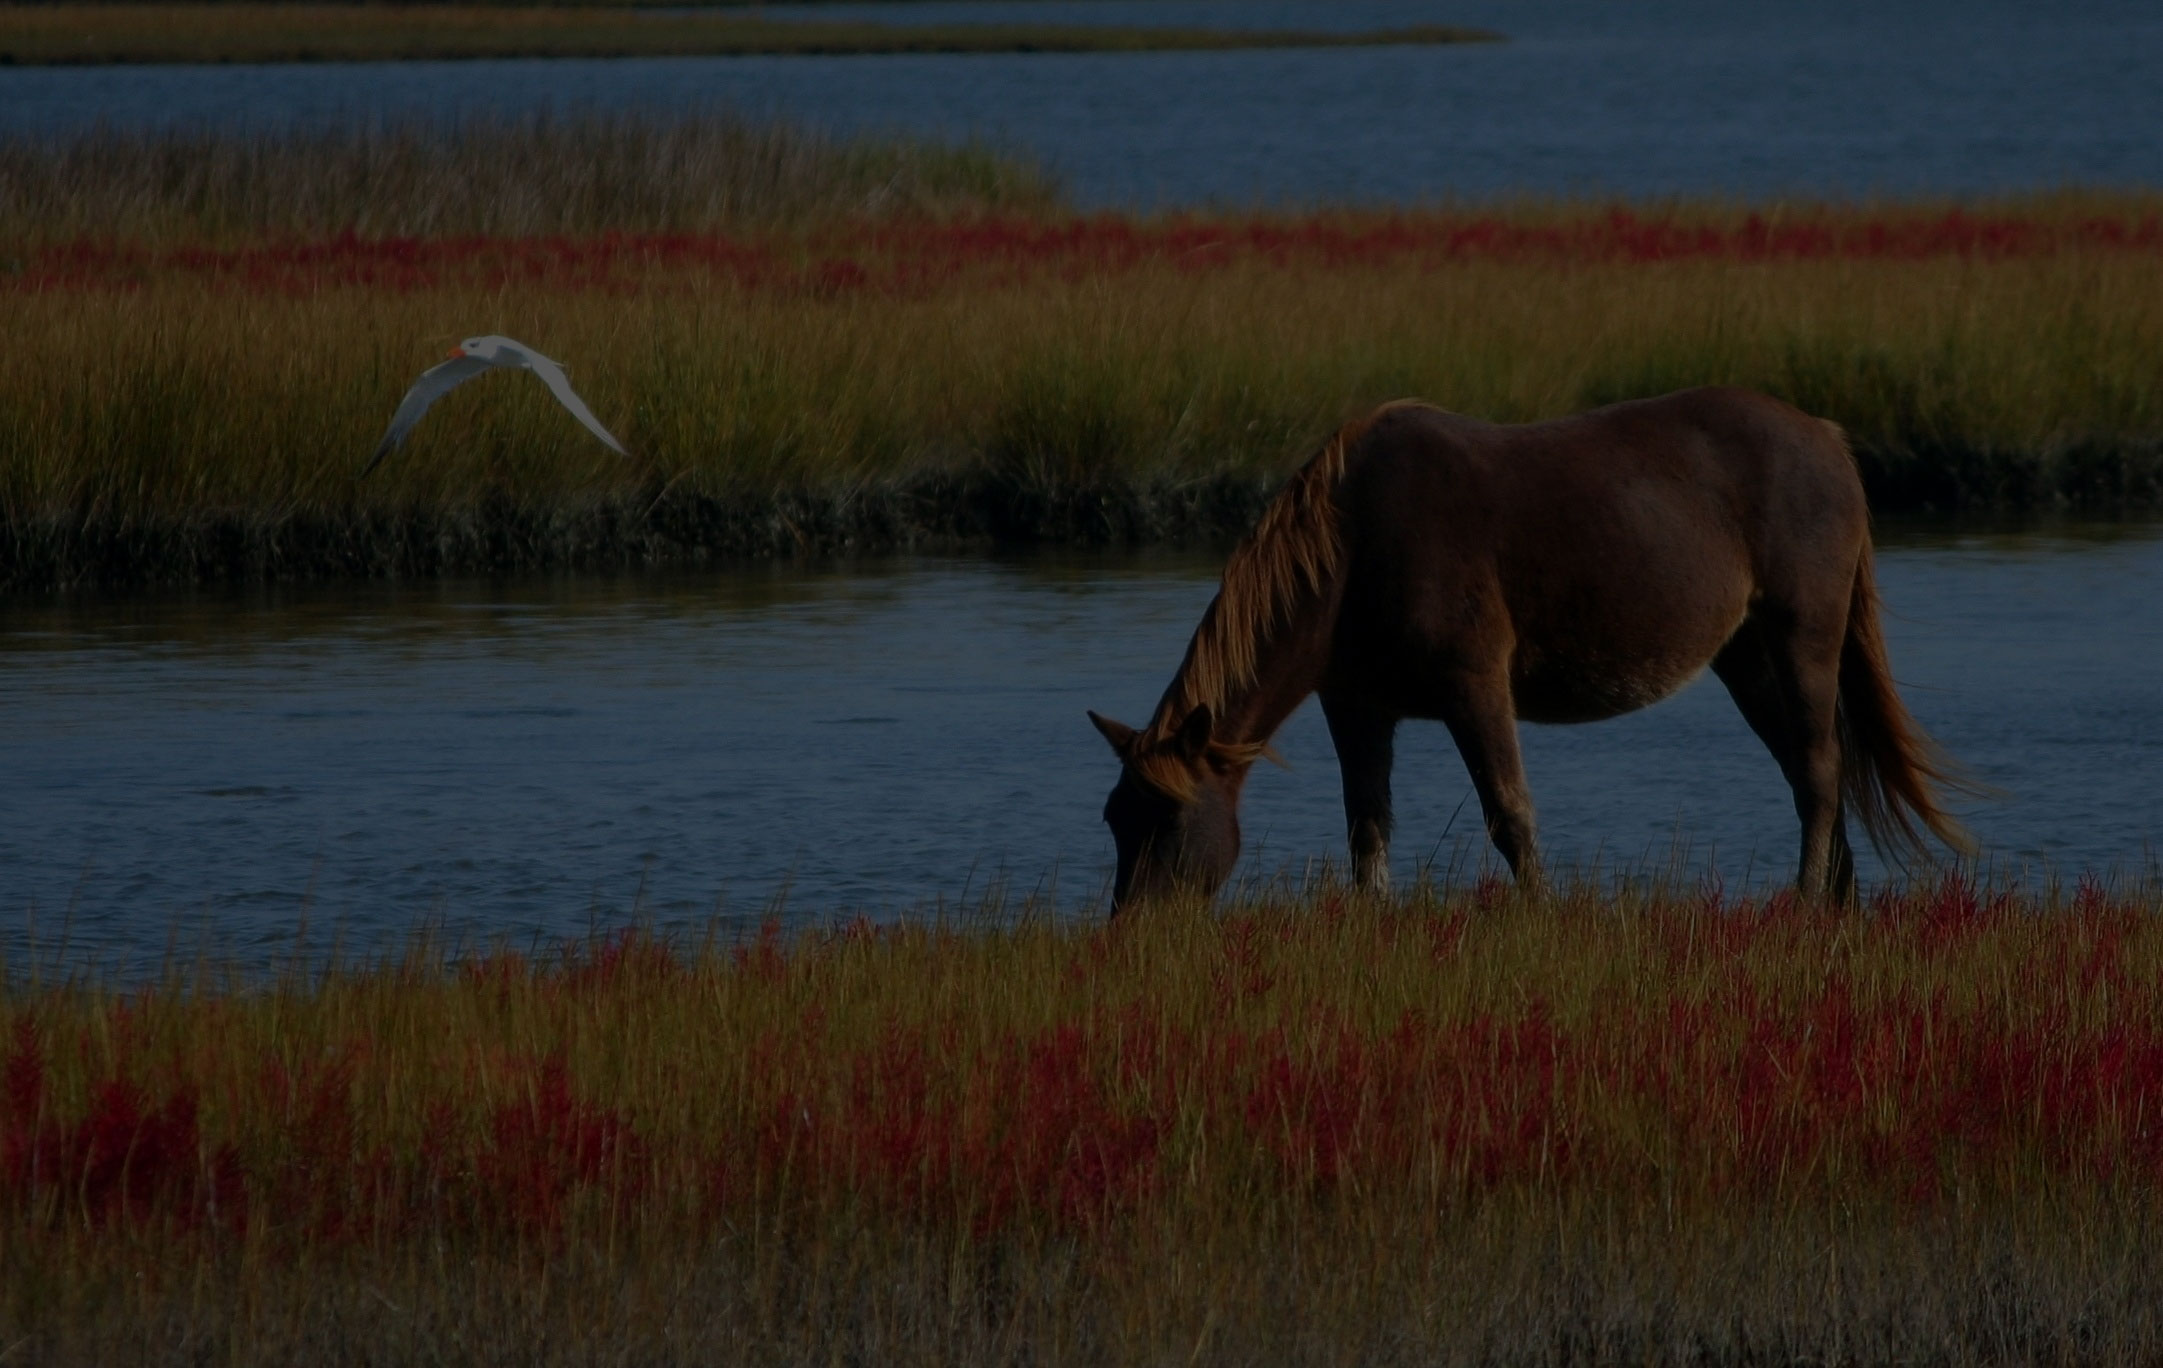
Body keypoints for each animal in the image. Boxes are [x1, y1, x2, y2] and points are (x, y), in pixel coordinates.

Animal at [1088, 387, 1971, 915]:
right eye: (1112, 819)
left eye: (1168, 819)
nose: (1133, 932)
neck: (1354, 545)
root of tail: (1826, 438)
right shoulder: (1357, 707)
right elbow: (1366, 827)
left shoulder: (1474, 687)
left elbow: (1510, 815)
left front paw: (1538, 918)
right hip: (1746, 659)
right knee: (1806, 771)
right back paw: (1835, 901)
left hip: (1801, 637)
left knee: (1819, 772)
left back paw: (1805, 902)